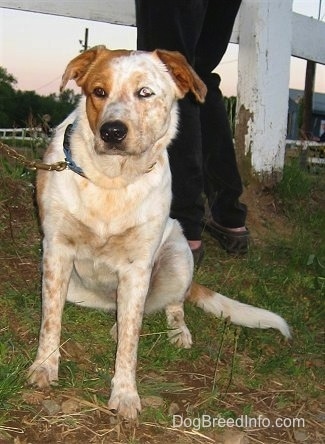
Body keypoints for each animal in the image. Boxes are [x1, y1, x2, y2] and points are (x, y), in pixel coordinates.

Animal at [29, 45, 290, 420]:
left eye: (145, 92)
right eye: (98, 91)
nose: (111, 131)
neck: (112, 179)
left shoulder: (138, 267)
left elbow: (131, 342)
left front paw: (125, 394)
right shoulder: (55, 251)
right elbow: (51, 320)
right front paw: (45, 367)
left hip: (179, 256)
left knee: (169, 305)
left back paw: (176, 331)